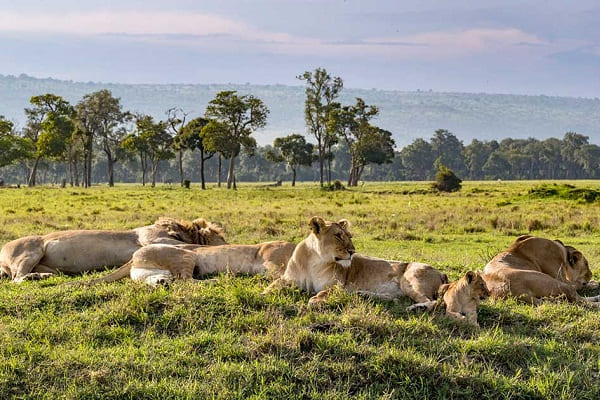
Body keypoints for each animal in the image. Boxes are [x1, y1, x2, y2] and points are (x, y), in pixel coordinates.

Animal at [0, 219, 225, 282]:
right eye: (222, 238)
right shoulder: (151, 239)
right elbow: (195, 247)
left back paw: (42, 276)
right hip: (30, 252)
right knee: (16, 279)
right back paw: (35, 277)